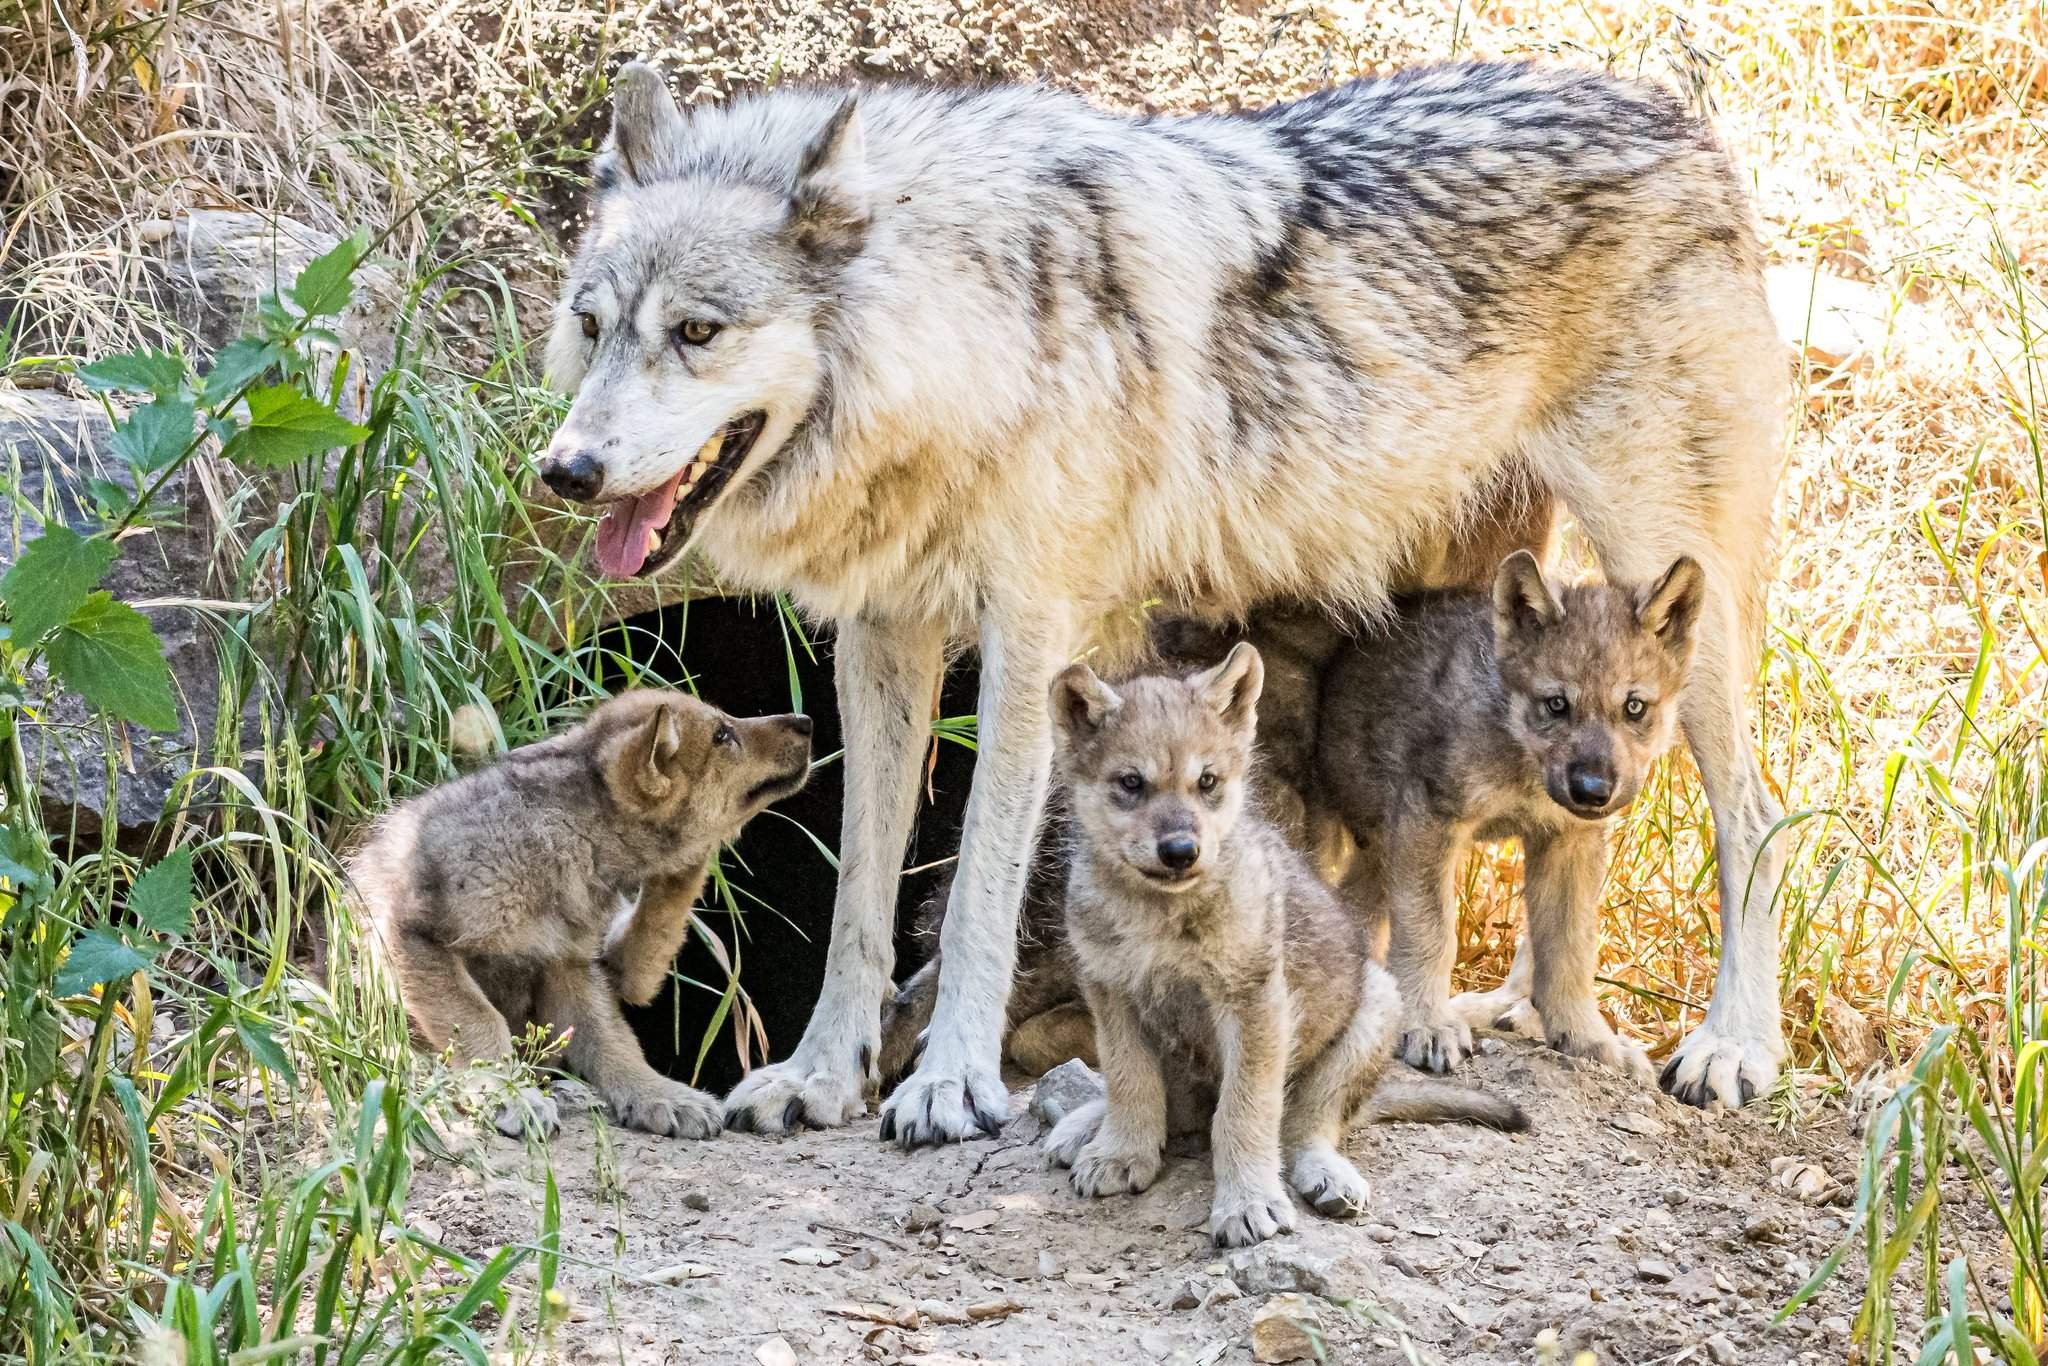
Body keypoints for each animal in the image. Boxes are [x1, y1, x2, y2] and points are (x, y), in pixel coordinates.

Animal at [352, 688, 806, 1138]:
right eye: (723, 735)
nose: (806, 721)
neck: (567, 837)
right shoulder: (414, 932)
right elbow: (480, 1021)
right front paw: (512, 1095)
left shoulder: (569, 963)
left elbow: (612, 1039)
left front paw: (659, 1095)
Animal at [1040, 647, 1523, 1245]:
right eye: (1131, 782)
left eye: (1207, 781)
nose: (1180, 851)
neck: (1161, 914)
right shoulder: (1113, 995)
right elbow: (1130, 1083)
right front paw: (1120, 1153)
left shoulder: (1255, 1003)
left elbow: (1244, 1113)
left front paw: (1247, 1201)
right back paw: (1084, 1126)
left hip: (1375, 1009)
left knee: (1306, 1127)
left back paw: (1327, 1174)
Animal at [1318, 548, 1703, 1081]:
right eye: (1557, 704)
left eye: (1634, 707)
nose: (1593, 791)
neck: (1522, 766)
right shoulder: (1428, 819)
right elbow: (1429, 933)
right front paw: (1427, 1024)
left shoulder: (1568, 841)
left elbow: (1568, 951)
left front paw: (1587, 1038)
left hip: (1379, 852)